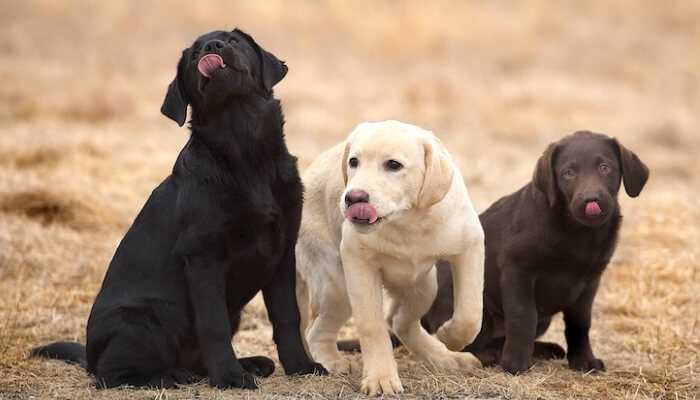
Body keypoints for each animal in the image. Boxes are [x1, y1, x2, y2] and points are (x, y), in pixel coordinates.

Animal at [32, 29, 326, 390]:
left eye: (233, 41)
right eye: (195, 55)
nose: (212, 47)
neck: (246, 154)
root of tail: (91, 354)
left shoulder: (283, 250)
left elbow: (287, 315)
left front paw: (301, 366)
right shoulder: (203, 257)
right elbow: (213, 325)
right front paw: (229, 377)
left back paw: (251, 363)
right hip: (144, 320)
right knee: (110, 375)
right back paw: (170, 375)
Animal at [296, 120, 486, 396]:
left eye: (393, 165)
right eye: (353, 162)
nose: (353, 197)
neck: (407, 222)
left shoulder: (470, 246)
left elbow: (470, 314)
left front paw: (450, 337)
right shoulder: (357, 261)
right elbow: (372, 325)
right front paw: (381, 378)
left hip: (424, 286)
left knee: (399, 321)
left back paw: (446, 357)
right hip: (337, 286)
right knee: (315, 331)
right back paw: (333, 361)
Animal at [422, 131, 644, 376]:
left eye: (605, 168)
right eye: (569, 173)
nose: (591, 199)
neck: (578, 231)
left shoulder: (590, 280)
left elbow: (580, 323)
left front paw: (583, 360)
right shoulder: (517, 268)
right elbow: (523, 316)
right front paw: (515, 363)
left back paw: (544, 349)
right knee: (464, 341)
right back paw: (490, 354)